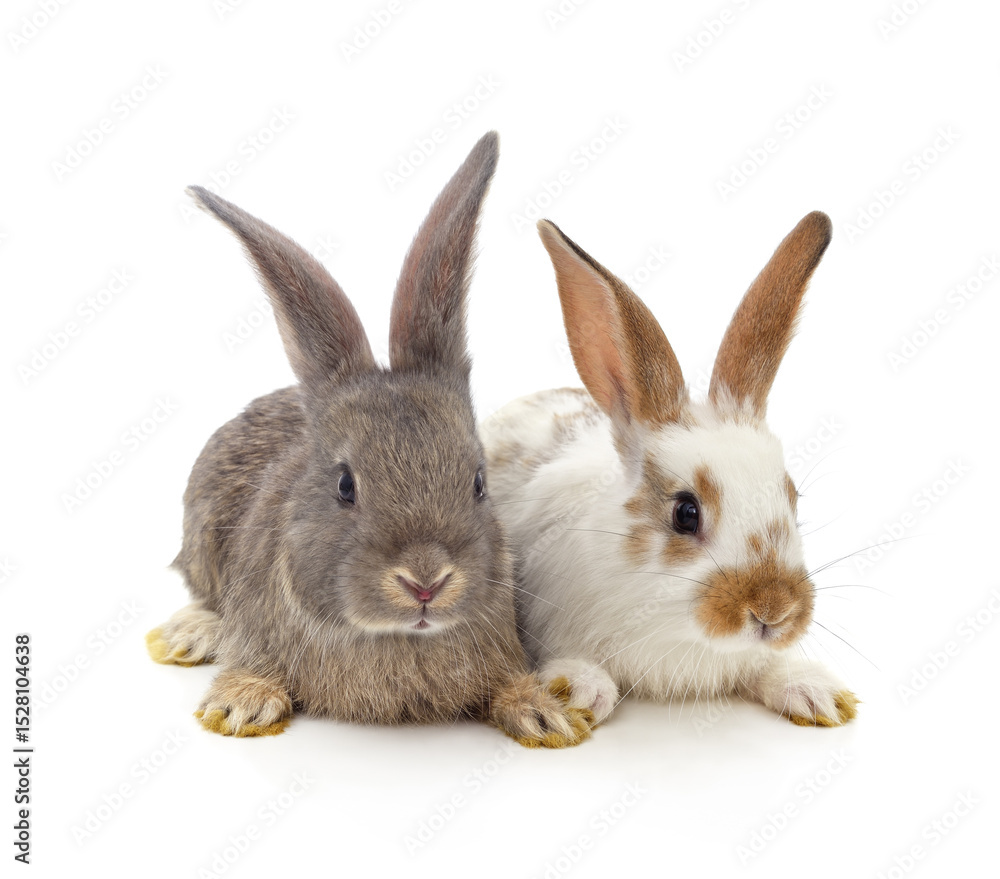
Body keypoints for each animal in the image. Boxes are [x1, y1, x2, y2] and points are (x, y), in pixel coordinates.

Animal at [145, 132, 592, 748]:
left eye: (478, 483)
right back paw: (188, 634)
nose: (425, 583)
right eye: (345, 485)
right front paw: (240, 706)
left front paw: (545, 715)